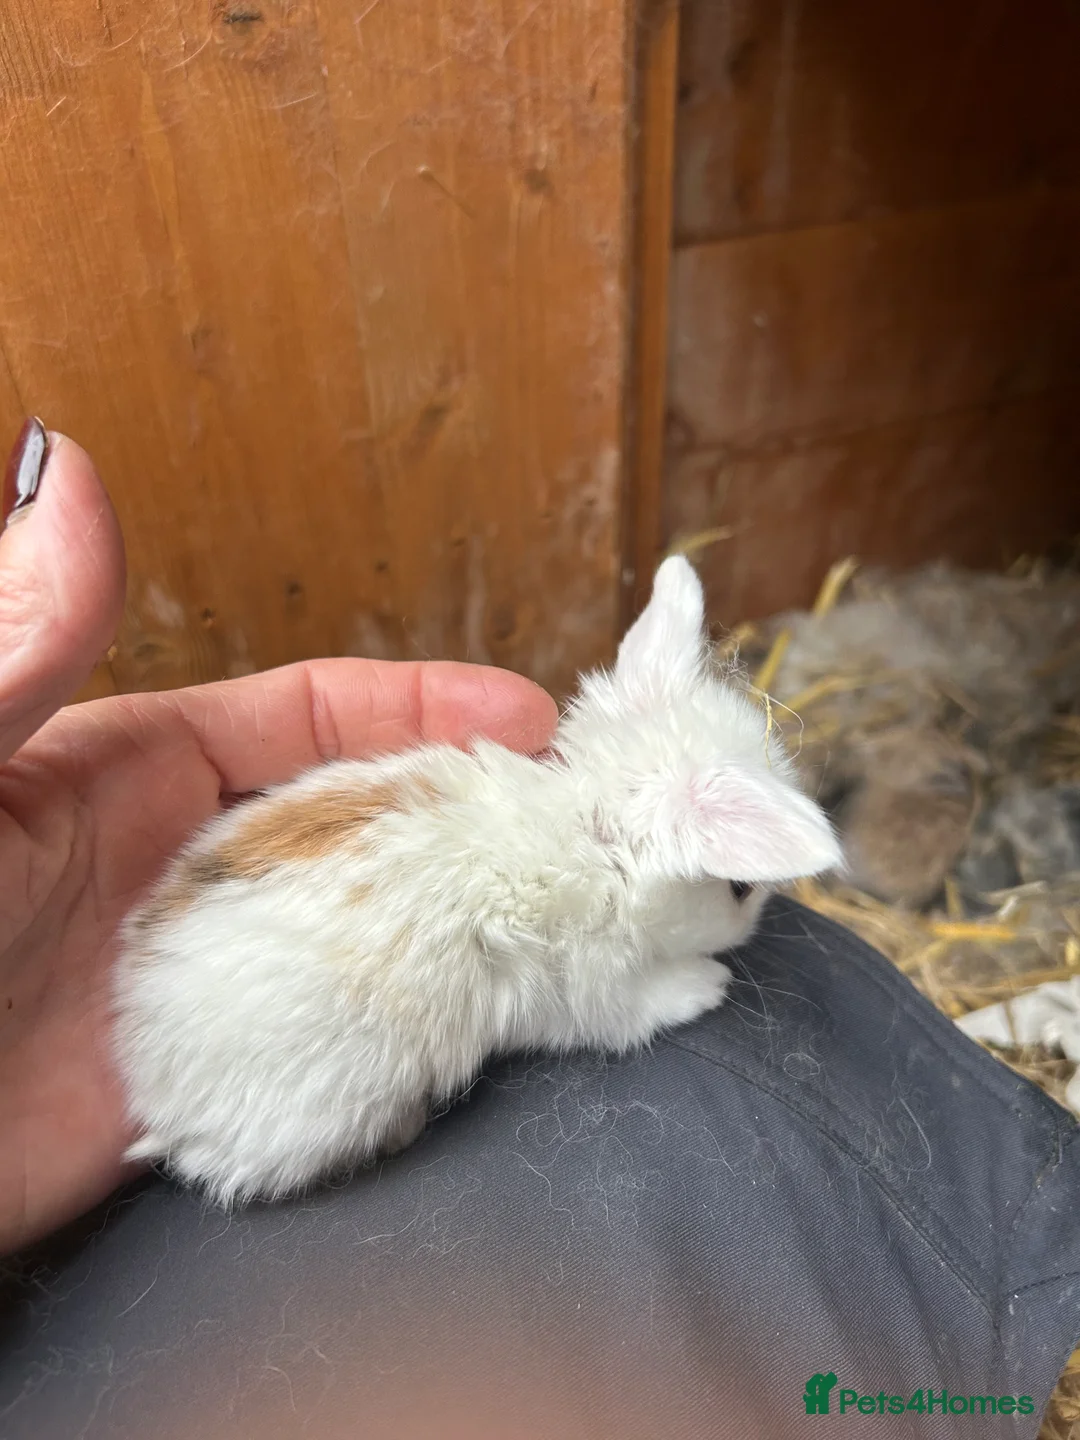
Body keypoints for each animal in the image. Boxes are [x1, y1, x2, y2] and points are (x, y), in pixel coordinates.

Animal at [111, 556, 842, 1206]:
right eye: (739, 889)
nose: (750, 927)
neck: (592, 832)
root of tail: (159, 1098)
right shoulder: (597, 990)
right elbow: (643, 1009)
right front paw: (709, 985)